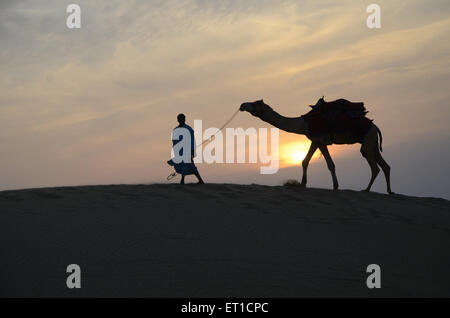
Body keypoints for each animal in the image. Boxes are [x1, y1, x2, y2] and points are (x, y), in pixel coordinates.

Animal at [241, 99, 392, 194]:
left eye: (255, 103)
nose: (242, 105)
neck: (303, 123)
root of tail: (375, 126)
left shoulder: (320, 140)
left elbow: (330, 164)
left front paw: (335, 186)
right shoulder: (314, 140)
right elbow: (305, 161)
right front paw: (303, 184)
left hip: (368, 140)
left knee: (374, 166)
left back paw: (366, 190)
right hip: (372, 141)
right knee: (385, 165)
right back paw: (389, 191)